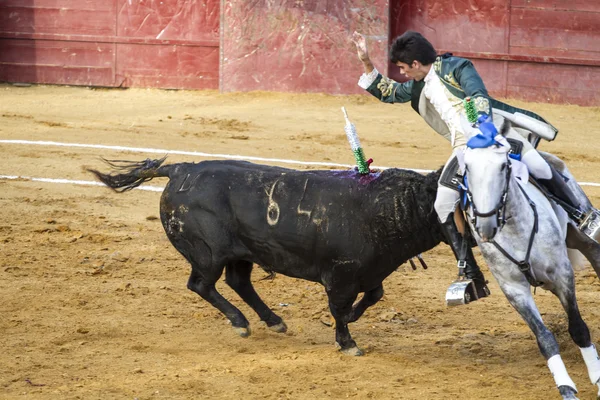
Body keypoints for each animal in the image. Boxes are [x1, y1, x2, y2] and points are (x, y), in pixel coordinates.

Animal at [89, 158, 446, 354]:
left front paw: (353, 324)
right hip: (208, 254)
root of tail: (180, 170)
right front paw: (348, 344)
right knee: (201, 284)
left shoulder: (370, 272)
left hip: (242, 253)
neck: (384, 208)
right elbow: (341, 310)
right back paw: (240, 323)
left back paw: (273, 321)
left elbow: (373, 296)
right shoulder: (341, 277)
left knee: (238, 282)